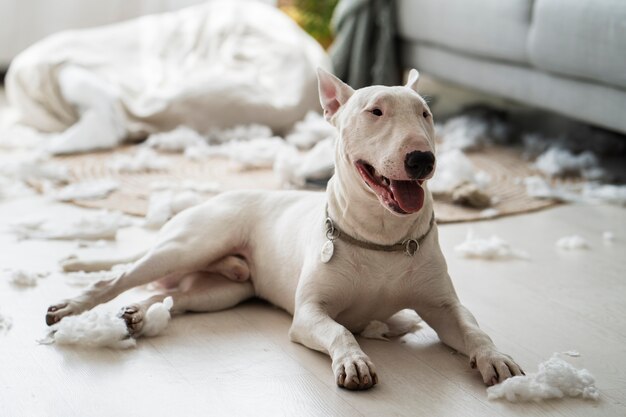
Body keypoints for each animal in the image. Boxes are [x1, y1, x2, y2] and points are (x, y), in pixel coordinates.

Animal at [45, 68, 520, 390]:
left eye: (425, 114)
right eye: (375, 111)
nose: (422, 159)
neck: (382, 234)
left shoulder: (443, 307)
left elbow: (473, 328)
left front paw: (495, 358)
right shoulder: (309, 313)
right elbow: (340, 329)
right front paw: (354, 361)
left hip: (226, 290)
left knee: (176, 296)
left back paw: (140, 314)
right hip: (190, 244)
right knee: (118, 277)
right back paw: (70, 309)